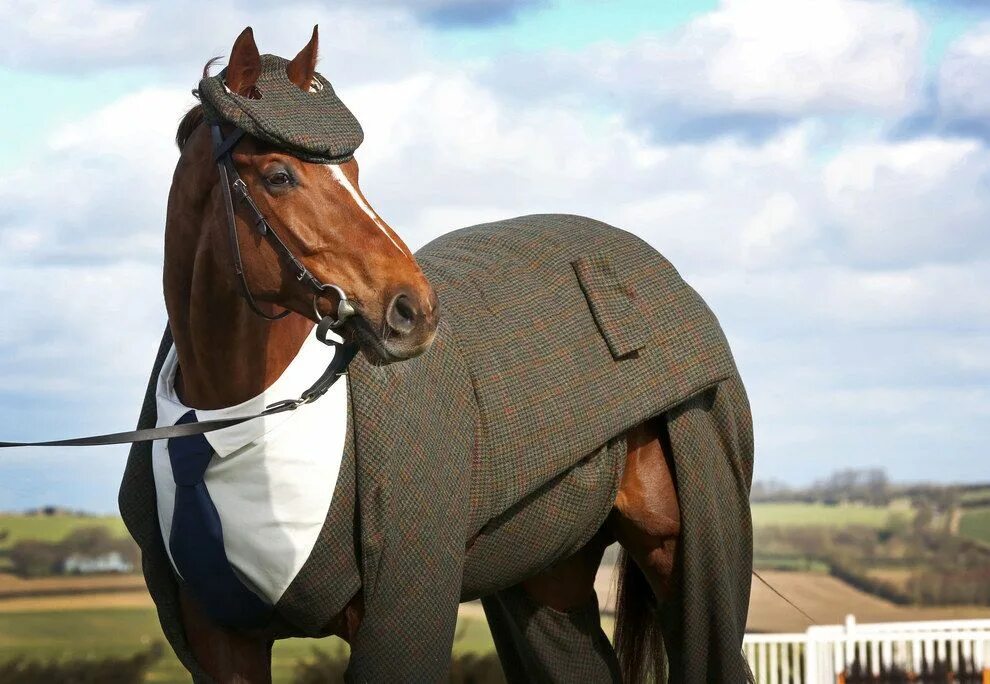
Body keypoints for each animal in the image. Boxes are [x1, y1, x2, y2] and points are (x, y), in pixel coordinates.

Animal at [120, 24, 756, 680]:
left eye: (352, 168)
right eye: (278, 175)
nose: (413, 309)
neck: (238, 419)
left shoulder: (396, 614)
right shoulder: (225, 643)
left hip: (682, 545)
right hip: (547, 579)